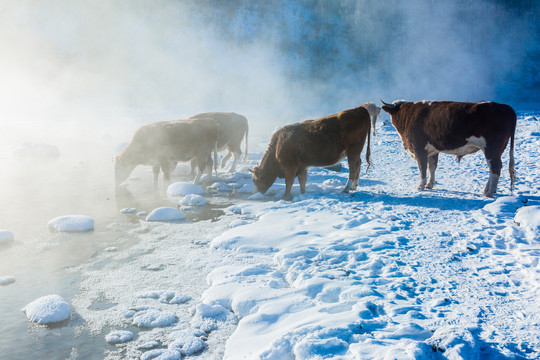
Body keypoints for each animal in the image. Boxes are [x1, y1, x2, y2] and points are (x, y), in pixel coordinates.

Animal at [378, 99, 516, 197]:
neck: (407, 115)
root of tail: (505, 107)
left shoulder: (419, 148)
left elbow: (422, 168)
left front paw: (420, 186)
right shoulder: (432, 150)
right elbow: (431, 167)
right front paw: (429, 184)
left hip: (491, 149)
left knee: (495, 168)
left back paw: (490, 192)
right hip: (494, 150)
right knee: (492, 169)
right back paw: (485, 190)